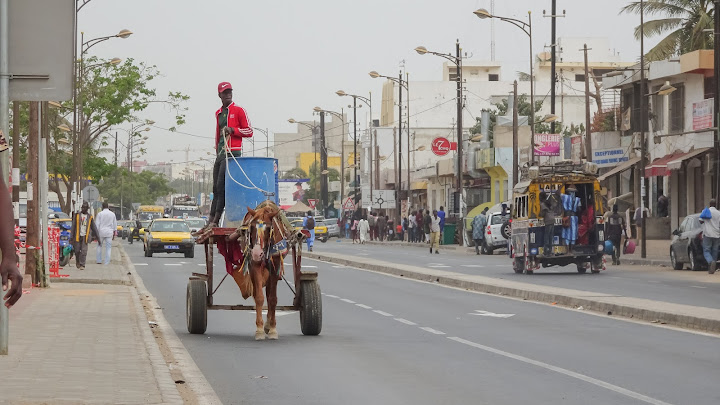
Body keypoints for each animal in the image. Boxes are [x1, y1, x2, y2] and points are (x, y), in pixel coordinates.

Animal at [228, 201, 290, 338]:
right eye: (252, 227)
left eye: (269, 228)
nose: (257, 253)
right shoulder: (254, 265)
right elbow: (259, 298)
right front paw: (259, 329)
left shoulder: (275, 265)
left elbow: (272, 299)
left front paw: (272, 329)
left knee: (269, 293)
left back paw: (269, 324)